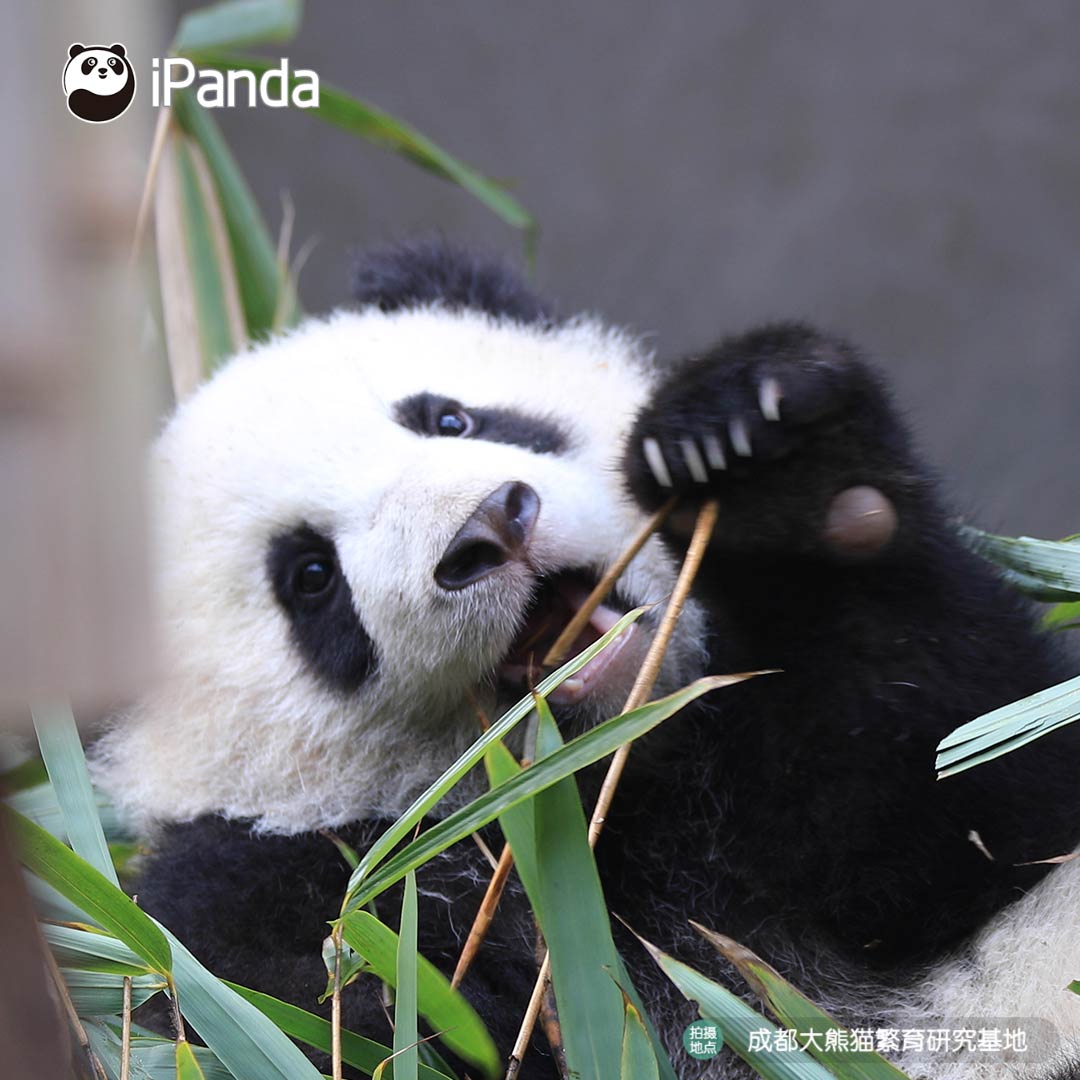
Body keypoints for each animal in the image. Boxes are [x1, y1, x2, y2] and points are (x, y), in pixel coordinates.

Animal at [92, 241, 1080, 1079]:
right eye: (308, 577)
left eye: (451, 417)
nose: (488, 526)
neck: (613, 777)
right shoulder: (258, 913)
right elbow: (350, 1026)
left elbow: (966, 785)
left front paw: (775, 466)